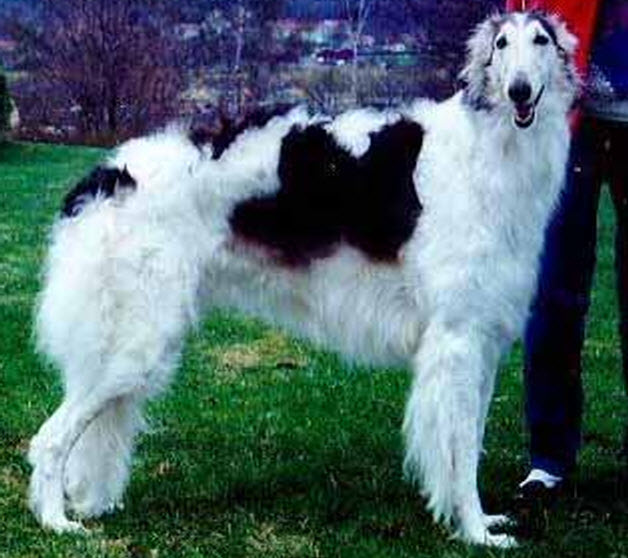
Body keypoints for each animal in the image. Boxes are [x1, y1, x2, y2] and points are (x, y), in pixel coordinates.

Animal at [28, 12, 578, 547]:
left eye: (541, 41)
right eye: (501, 45)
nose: (520, 91)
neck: (489, 149)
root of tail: (103, 177)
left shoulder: (483, 339)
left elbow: (473, 441)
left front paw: (482, 522)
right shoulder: (457, 338)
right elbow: (461, 455)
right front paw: (477, 531)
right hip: (136, 344)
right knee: (48, 438)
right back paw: (57, 521)